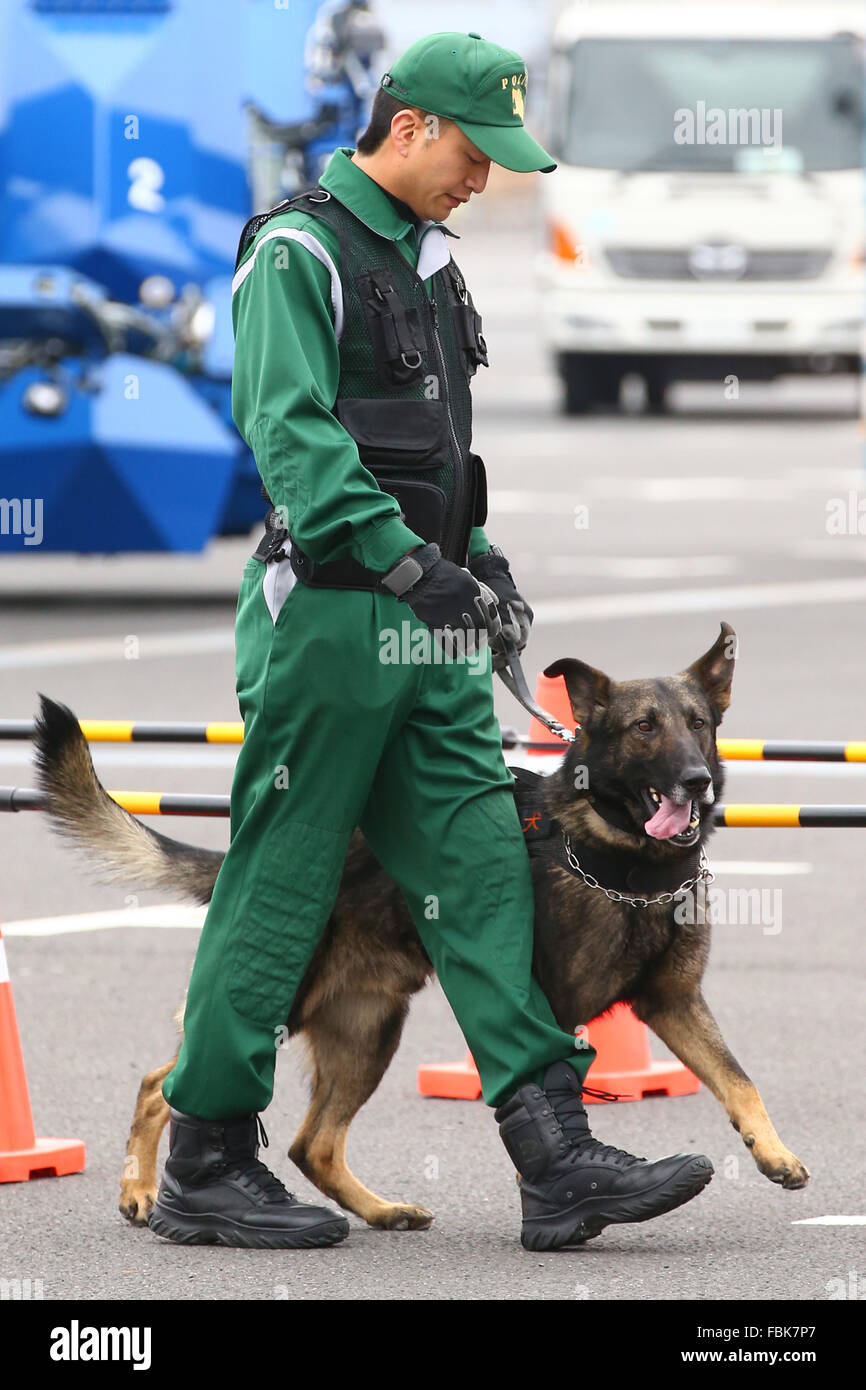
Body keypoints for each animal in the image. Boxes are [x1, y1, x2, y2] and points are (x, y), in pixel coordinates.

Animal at [30, 625, 811, 1234]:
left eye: (699, 723)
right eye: (644, 726)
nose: (695, 781)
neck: (619, 857)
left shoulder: (674, 1001)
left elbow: (739, 1081)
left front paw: (772, 1153)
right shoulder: (552, 1005)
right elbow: (549, 1075)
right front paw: (565, 1196)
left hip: (369, 1035)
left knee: (312, 1145)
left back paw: (380, 1210)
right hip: (289, 1003)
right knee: (162, 1082)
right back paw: (143, 1190)